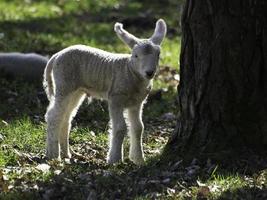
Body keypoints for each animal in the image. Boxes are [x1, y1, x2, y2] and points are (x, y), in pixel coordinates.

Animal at [44, 19, 168, 166]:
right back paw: (53, 155)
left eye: (158, 55)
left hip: (76, 91)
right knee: (53, 116)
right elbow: (120, 127)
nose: (149, 73)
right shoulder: (116, 98)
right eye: (136, 56)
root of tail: (56, 55)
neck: (129, 71)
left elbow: (138, 127)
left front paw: (139, 159)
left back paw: (65, 153)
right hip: (64, 84)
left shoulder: (137, 102)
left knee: (66, 117)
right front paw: (114, 159)